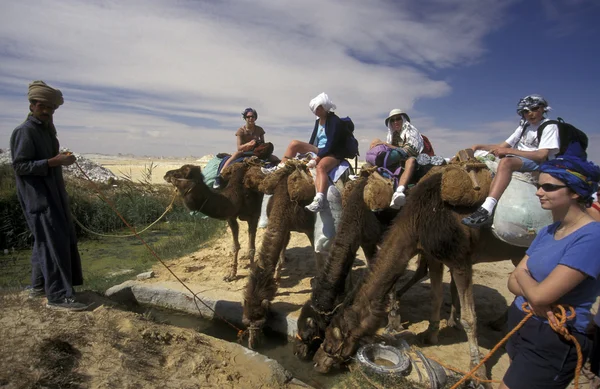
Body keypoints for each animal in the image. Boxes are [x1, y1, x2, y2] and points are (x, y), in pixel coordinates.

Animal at [310, 173, 524, 384]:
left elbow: (469, 317)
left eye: (332, 341)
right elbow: (435, 296)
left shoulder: (459, 258)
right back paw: (488, 322)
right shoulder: (432, 254)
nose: (316, 362)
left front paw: (477, 371)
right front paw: (429, 334)